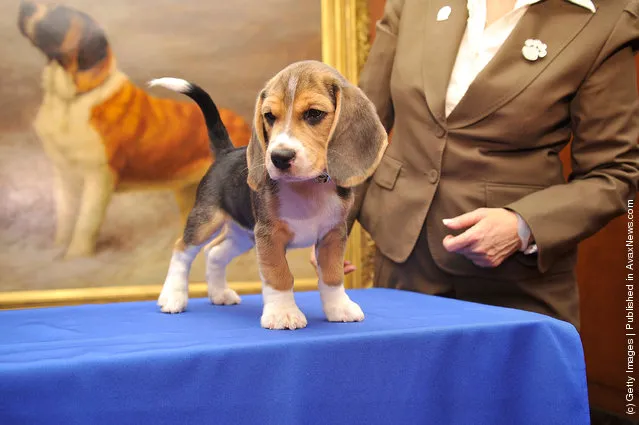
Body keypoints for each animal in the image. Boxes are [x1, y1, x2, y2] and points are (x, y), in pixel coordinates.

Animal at [17, 1, 250, 258]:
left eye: (60, 13)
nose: (25, 6)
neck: (71, 100)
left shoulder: (98, 178)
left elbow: (85, 222)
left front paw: (75, 256)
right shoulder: (63, 174)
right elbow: (65, 216)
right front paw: (58, 249)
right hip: (192, 195)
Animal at [151, 59, 384, 330]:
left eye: (314, 114)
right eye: (269, 116)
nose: (279, 157)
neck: (307, 186)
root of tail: (226, 152)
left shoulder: (333, 234)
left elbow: (332, 275)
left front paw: (339, 308)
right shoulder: (269, 236)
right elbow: (279, 274)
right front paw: (283, 314)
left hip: (243, 234)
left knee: (215, 253)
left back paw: (219, 294)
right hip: (206, 220)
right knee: (182, 250)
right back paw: (172, 297)